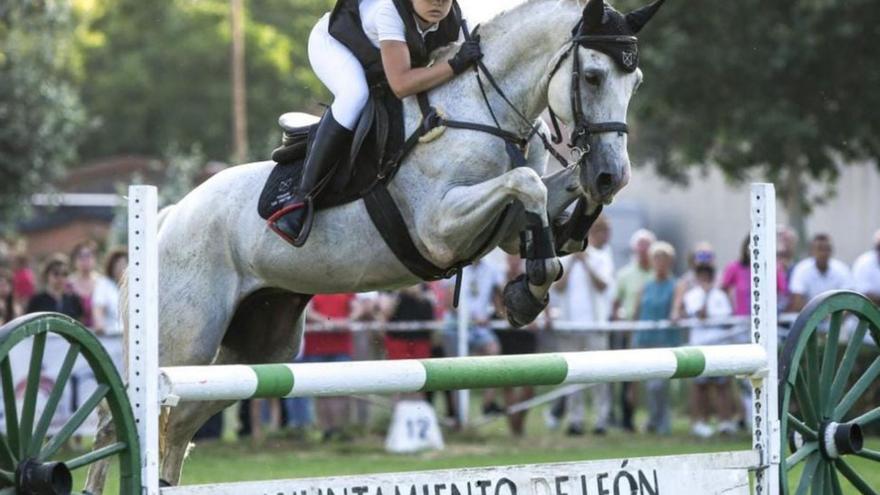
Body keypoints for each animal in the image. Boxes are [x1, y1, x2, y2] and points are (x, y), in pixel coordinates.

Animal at [86, 0, 660, 490]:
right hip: (183, 340)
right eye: (592, 76)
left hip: (256, 348)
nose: (613, 173)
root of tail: (166, 219)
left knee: (179, 425)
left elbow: (549, 190)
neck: (485, 111)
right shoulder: (438, 227)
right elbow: (529, 184)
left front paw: (561, 242)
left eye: (636, 81)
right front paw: (531, 287)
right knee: (118, 423)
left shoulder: (499, 223)